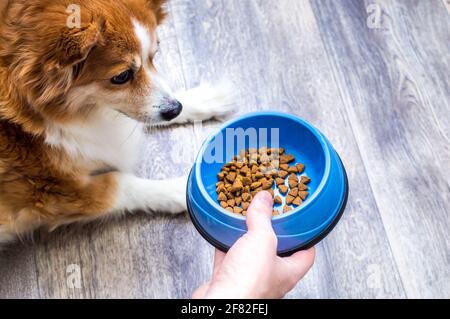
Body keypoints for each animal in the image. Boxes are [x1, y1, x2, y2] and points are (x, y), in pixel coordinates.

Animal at [0, 0, 232, 245]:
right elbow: (120, 182)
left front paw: (204, 99)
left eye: (154, 56)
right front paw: (181, 189)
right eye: (122, 76)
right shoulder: (52, 193)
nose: (174, 109)